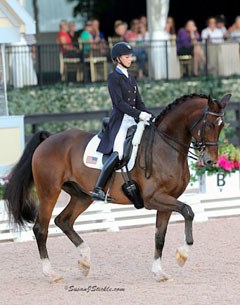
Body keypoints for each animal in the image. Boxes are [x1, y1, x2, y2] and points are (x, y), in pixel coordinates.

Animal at [5, 93, 231, 282]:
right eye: (210, 124)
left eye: (222, 126)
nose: (211, 161)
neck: (166, 146)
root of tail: (48, 139)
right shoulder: (154, 199)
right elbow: (188, 211)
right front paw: (182, 255)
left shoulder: (167, 200)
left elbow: (160, 236)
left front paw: (159, 271)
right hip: (49, 192)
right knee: (41, 229)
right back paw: (51, 274)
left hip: (82, 196)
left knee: (64, 221)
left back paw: (85, 262)